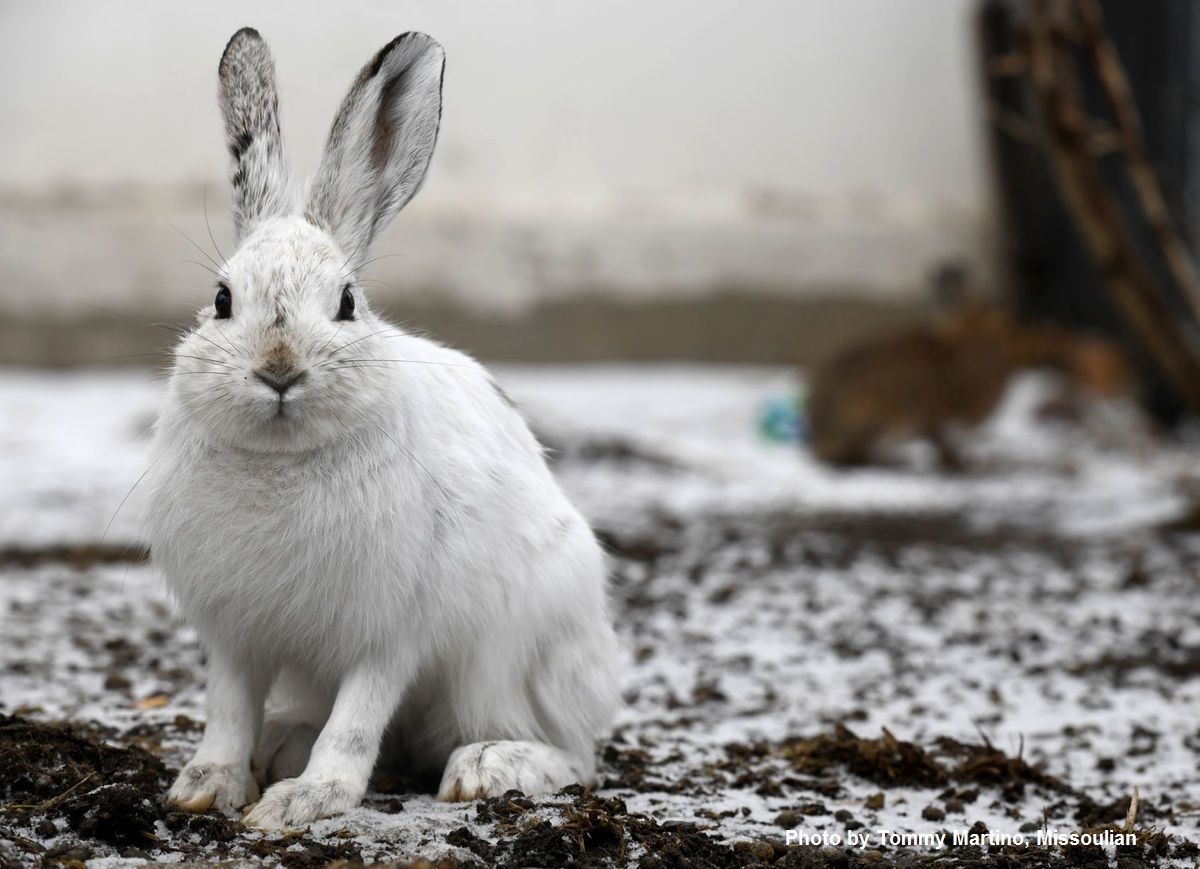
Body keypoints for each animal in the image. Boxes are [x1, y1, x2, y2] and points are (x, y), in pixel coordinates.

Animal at [145, 28, 620, 830]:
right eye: (222, 299)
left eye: (345, 303)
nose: (279, 368)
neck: (282, 459)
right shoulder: (235, 632)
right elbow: (228, 709)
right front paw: (206, 785)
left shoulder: (392, 631)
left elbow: (358, 719)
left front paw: (305, 801)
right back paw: (282, 743)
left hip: (506, 661)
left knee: (572, 756)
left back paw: (488, 767)